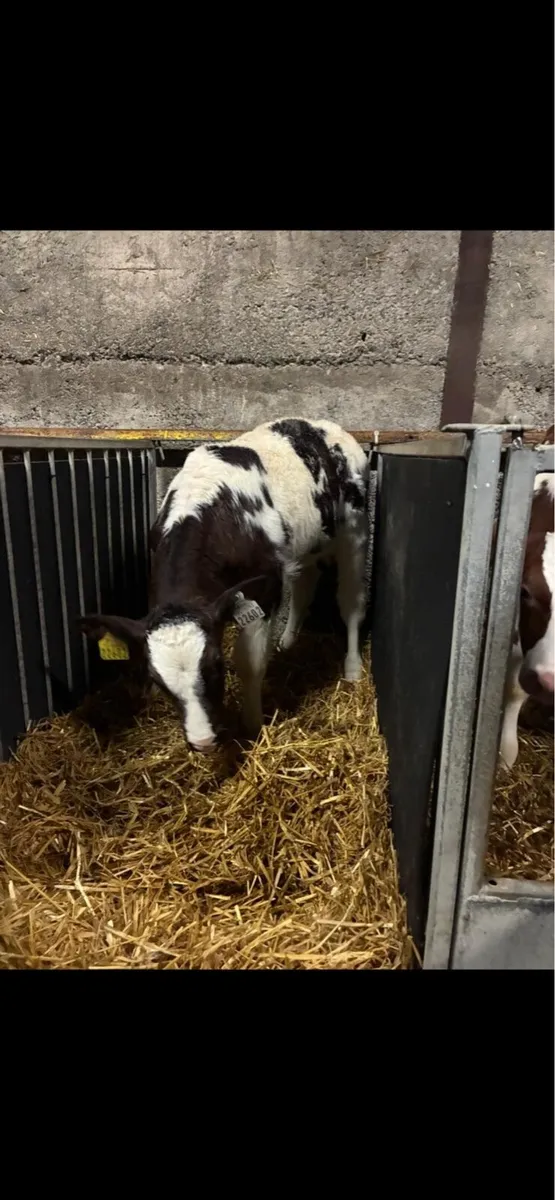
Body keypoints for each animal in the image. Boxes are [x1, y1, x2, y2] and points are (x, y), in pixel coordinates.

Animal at [79, 418, 369, 753]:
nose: (202, 741)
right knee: (304, 586)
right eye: (158, 680)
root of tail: (320, 425)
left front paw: (252, 724)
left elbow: (250, 662)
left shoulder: (265, 587)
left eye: (215, 665)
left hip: (354, 530)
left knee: (351, 603)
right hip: (309, 543)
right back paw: (288, 641)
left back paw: (352, 667)